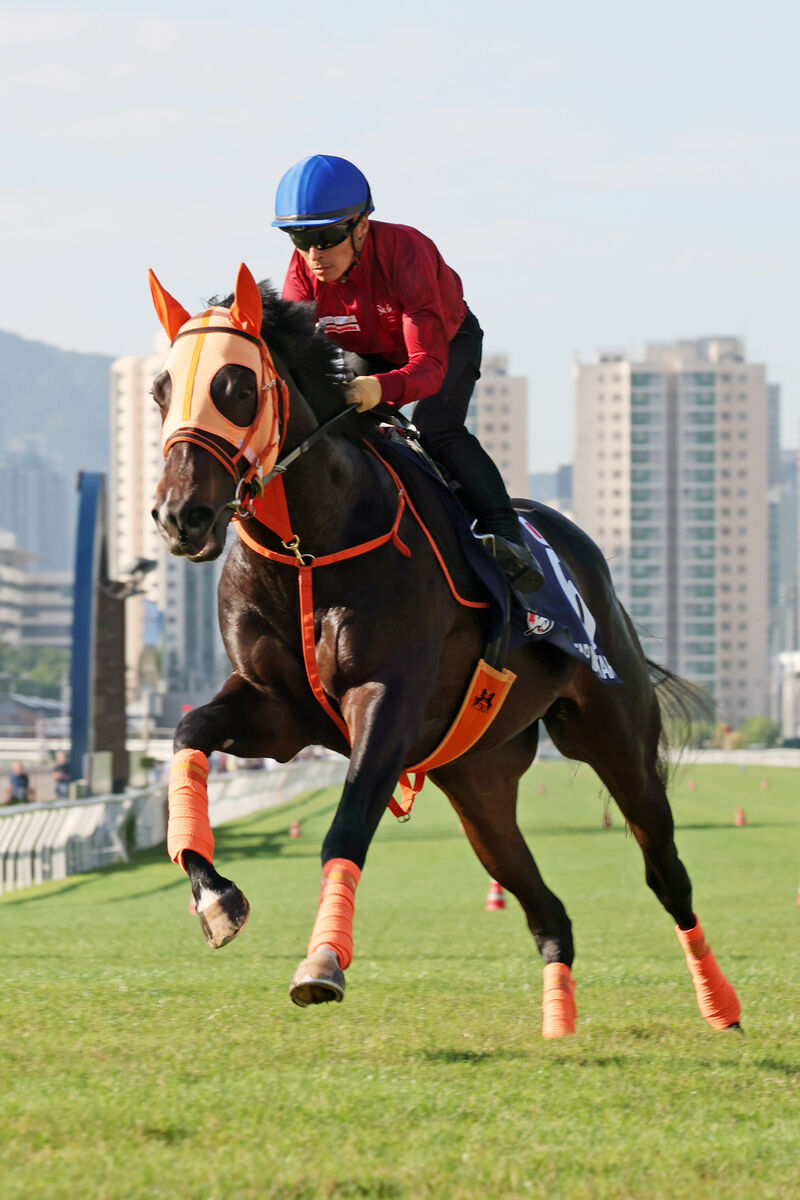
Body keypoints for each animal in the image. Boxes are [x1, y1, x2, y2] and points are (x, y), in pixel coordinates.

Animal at [146, 267, 743, 1036]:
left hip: (615, 738)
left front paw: (323, 961)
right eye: (161, 390)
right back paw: (560, 1023)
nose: (178, 517)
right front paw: (214, 895)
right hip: (478, 781)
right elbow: (188, 734)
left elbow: (347, 823)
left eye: (237, 387)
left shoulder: (387, 700)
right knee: (547, 909)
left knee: (664, 869)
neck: (309, 548)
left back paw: (721, 1005)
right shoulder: (279, 712)